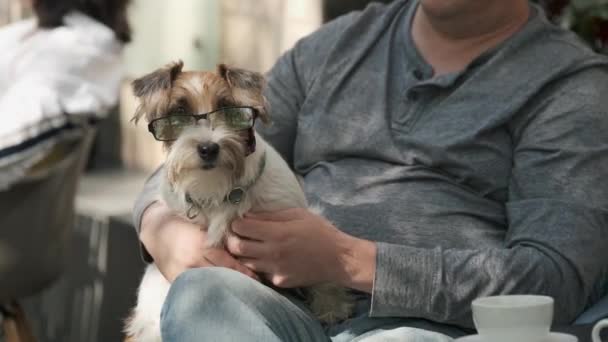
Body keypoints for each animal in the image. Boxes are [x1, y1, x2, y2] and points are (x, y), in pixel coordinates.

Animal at [125, 62, 354, 342]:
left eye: (230, 111)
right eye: (177, 115)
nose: (208, 148)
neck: (223, 190)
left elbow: (320, 263)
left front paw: (332, 305)